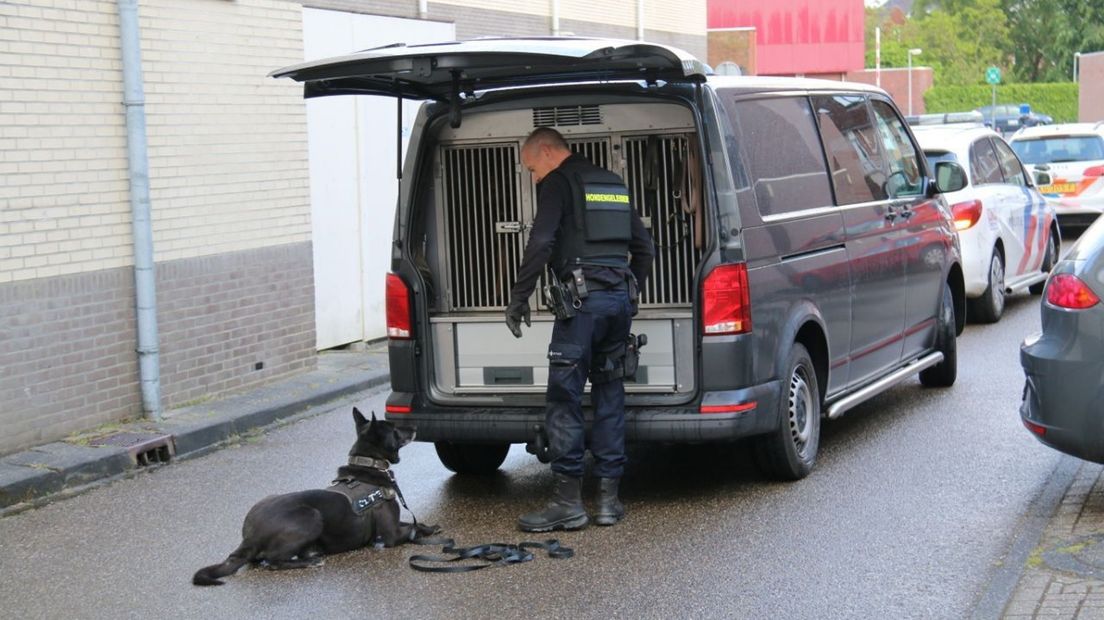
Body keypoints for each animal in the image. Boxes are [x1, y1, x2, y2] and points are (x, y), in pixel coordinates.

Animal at [192, 405, 432, 582]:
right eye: (394, 429)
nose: (414, 426)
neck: (368, 464)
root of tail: (251, 536)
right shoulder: (391, 534)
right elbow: (412, 527)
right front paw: (431, 531)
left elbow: (415, 522)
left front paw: (428, 527)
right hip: (311, 516)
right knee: (272, 561)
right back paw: (309, 561)